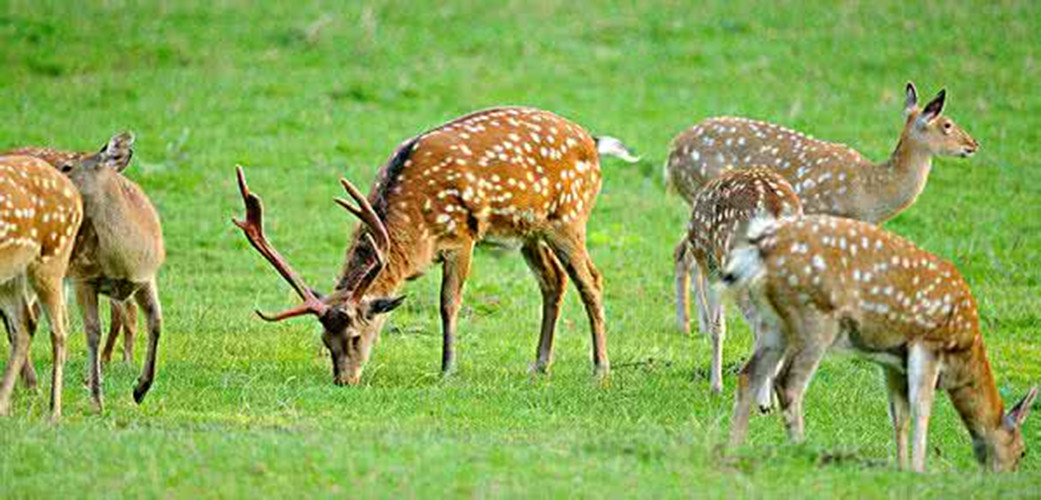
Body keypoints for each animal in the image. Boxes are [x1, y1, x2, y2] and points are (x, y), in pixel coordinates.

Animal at [236, 107, 637, 385]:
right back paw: (538, 365)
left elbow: (448, 304)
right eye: (324, 339)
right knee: (553, 281)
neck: (415, 230)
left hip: (569, 217)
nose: (343, 381)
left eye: (354, 336)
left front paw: (447, 369)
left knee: (591, 280)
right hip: (528, 231)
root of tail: (593, 142)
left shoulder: (462, 237)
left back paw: (601, 369)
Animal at [666, 82, 974, 335]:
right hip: (702, 196)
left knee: (682, 251)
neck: (872, 192)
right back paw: (694, 325)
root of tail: (671, 156)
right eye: (947, 124)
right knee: (691, 255)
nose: (973, 144)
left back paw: (694, 324)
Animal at [720, 214, 1036, 472]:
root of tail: (757, 248)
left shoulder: (894, 362)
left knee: (749, 374)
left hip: (773, 323)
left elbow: (899, 414)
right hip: (814, 316)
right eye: (1022, 452)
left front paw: (902, 467)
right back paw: (801, 449)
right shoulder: (928, 343)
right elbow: (922, 409)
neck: (963, 352)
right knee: (788, 383)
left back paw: (733, 449)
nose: (1004, 475)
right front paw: (919, 469)